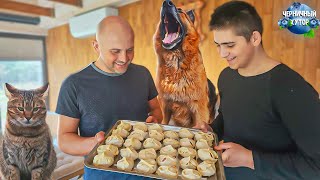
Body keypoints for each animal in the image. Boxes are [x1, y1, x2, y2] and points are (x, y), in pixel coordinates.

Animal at [154, 0, 216, 129]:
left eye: (180, 11)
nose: (166, 2)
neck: (177, 65)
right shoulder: (165, 105)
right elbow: (164, 122)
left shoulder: (199, 109)